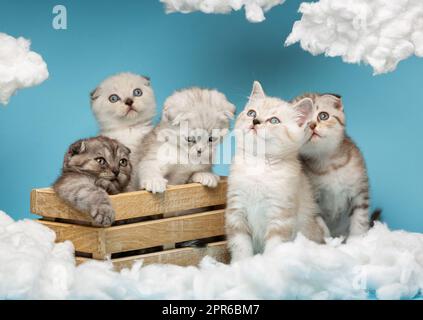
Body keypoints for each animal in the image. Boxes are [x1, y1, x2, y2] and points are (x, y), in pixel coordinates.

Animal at [227, 81, 330, 262]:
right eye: (251, 113)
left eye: (274, 120)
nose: (255, 121)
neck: (259, 164)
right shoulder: (237, 210)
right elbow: (241, 246)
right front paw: (241, 265)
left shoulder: (280, 215)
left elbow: (274, 247)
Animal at [292, 92, 378, 238]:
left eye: (323, 116)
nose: (312, 125)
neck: (329, 164)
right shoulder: (311, 198)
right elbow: (320, 223)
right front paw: (329, 241)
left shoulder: (359, 191)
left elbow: (359, 219)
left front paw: (357, 240)